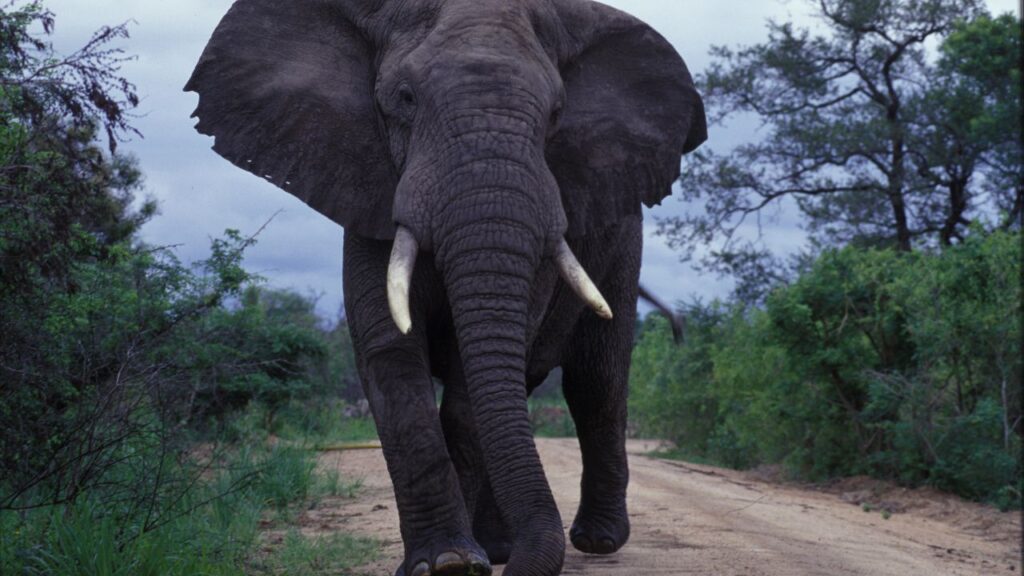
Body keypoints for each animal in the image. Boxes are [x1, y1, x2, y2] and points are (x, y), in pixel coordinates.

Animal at [186, 1, 705, 575]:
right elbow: (391, 360)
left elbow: (467, 390)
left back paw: (594, 540)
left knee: (595, 382)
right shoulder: (368, 194)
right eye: (405, 99)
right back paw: (503, 549)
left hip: (621, 241)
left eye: (556, 113)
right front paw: (449, 563)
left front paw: (461, 560)